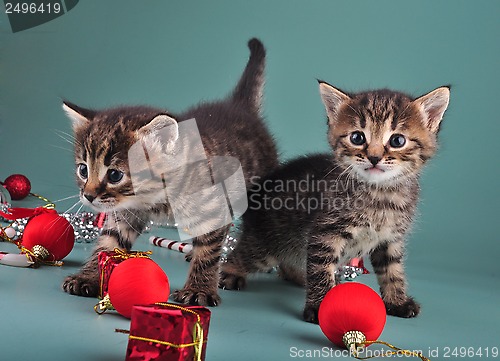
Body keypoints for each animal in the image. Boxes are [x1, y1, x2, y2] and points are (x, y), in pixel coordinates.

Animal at [61, 38, 280, 306]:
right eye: (83, 169)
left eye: (114, 175)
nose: (89, 196)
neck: (156, 197)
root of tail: (239, 108)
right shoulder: (126, 212)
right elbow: (109, 241)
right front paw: (89, 276)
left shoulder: (214, 207)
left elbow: (208, 251)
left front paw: (199, 289)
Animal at [221, 80, 452, 322]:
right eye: (357, 138)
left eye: (397, 140)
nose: (374, 157)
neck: (380, 195)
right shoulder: (324, 233)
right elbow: (320, 269)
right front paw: (319, 307)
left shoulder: (390, 239)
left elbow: (393, 271)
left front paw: (397, 301)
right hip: (266, 245)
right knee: (238, 257)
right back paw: (230, 275)